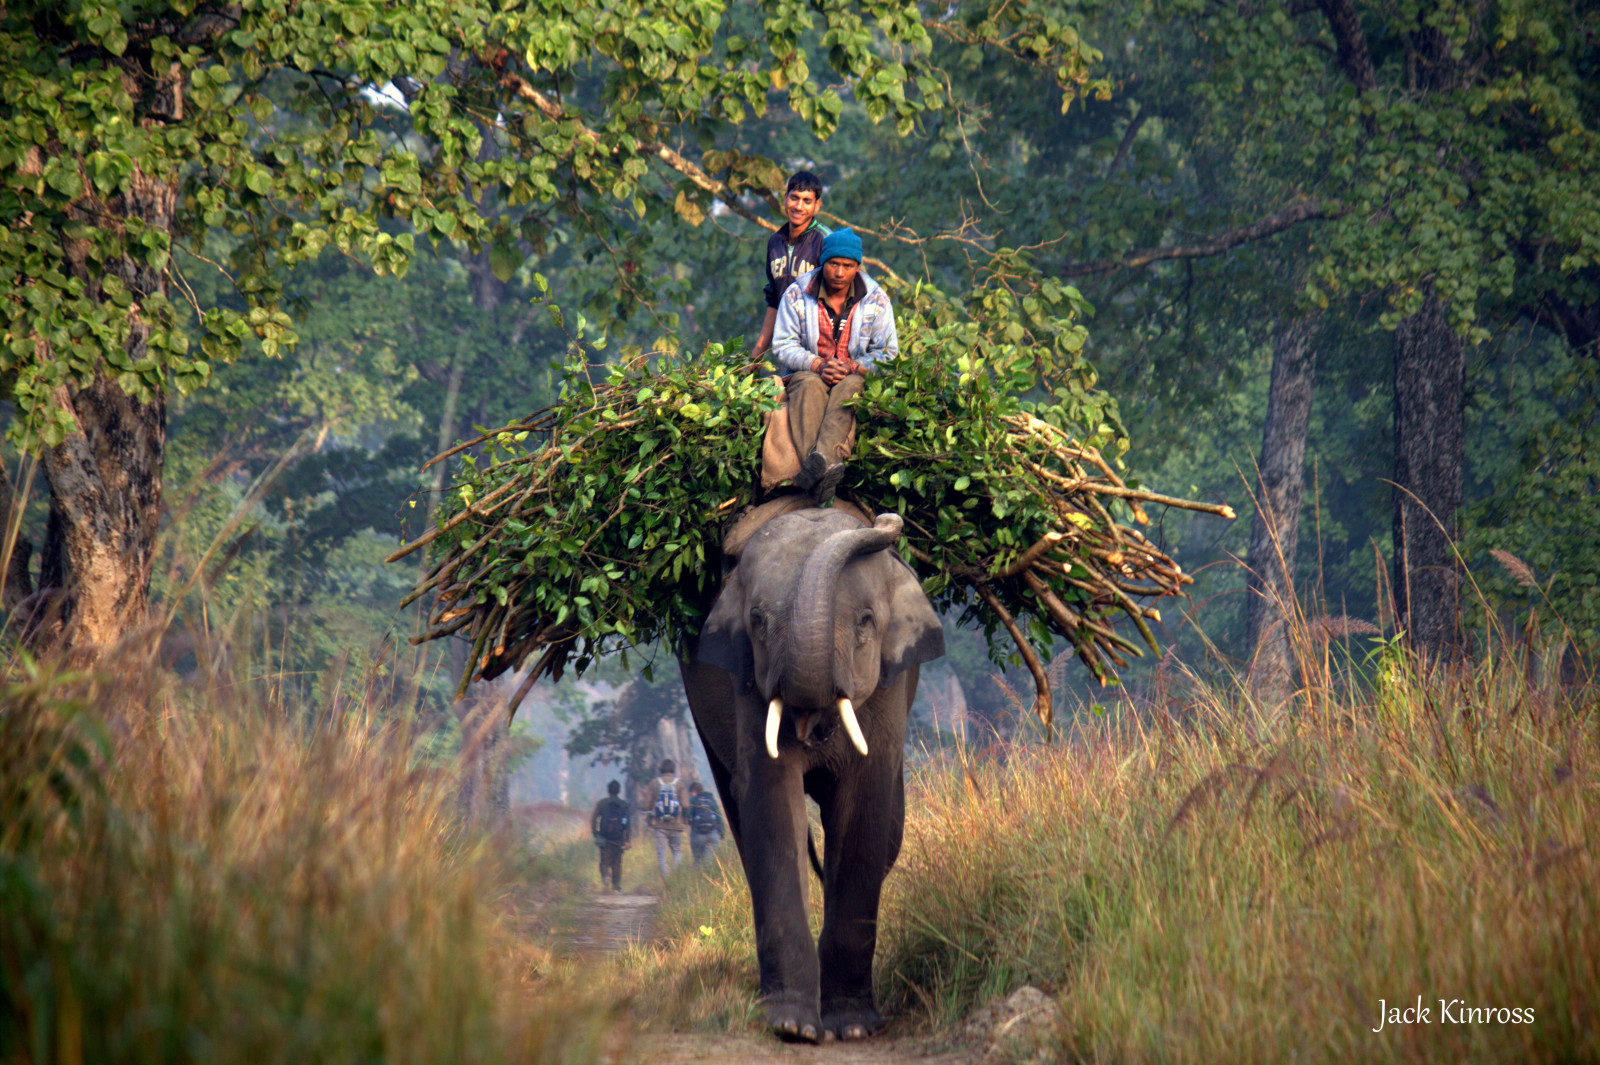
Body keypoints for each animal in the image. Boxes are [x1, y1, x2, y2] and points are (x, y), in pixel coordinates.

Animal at [677, 500, 945, 1043]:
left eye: (866, 621)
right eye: (758, 621)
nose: (889, 521)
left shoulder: (888, 688)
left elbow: (865, 809)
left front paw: (853, 1027)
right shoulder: (747, 685)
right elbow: (771, 802)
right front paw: (793, 1026)